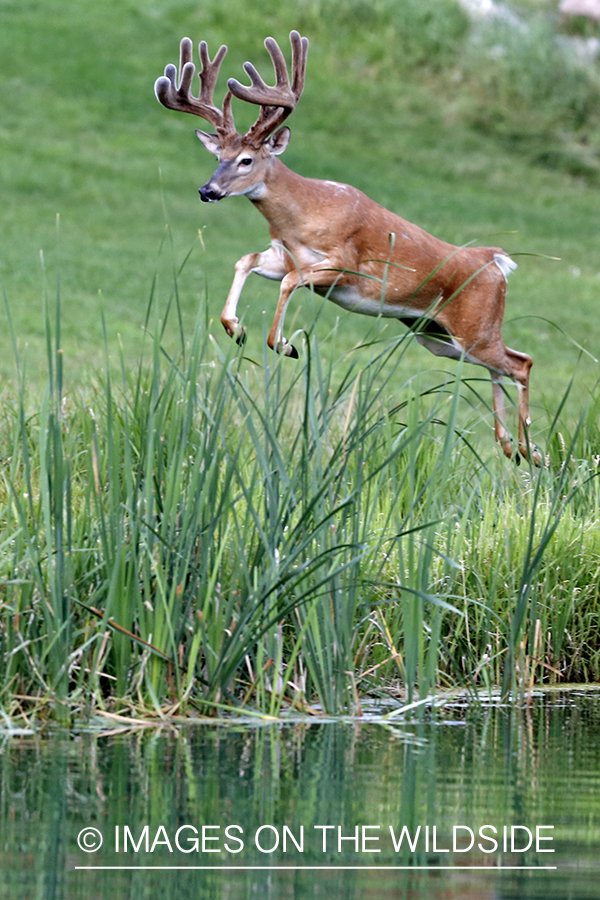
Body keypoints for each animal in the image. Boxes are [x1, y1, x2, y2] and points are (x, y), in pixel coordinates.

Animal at [154, 28, 540, 464]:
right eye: (218, 155)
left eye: (247, 160)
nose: (208, 190)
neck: (305, 213)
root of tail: (496, 262)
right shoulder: (282, 254)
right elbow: (246, 260)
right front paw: (236, 329)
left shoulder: (345, 265)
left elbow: (289, 282)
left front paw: (284, 345)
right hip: (435, 334)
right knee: (503, 366)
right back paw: (512, 446)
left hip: (475, 325)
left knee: (521, 363)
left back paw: (529, 447)